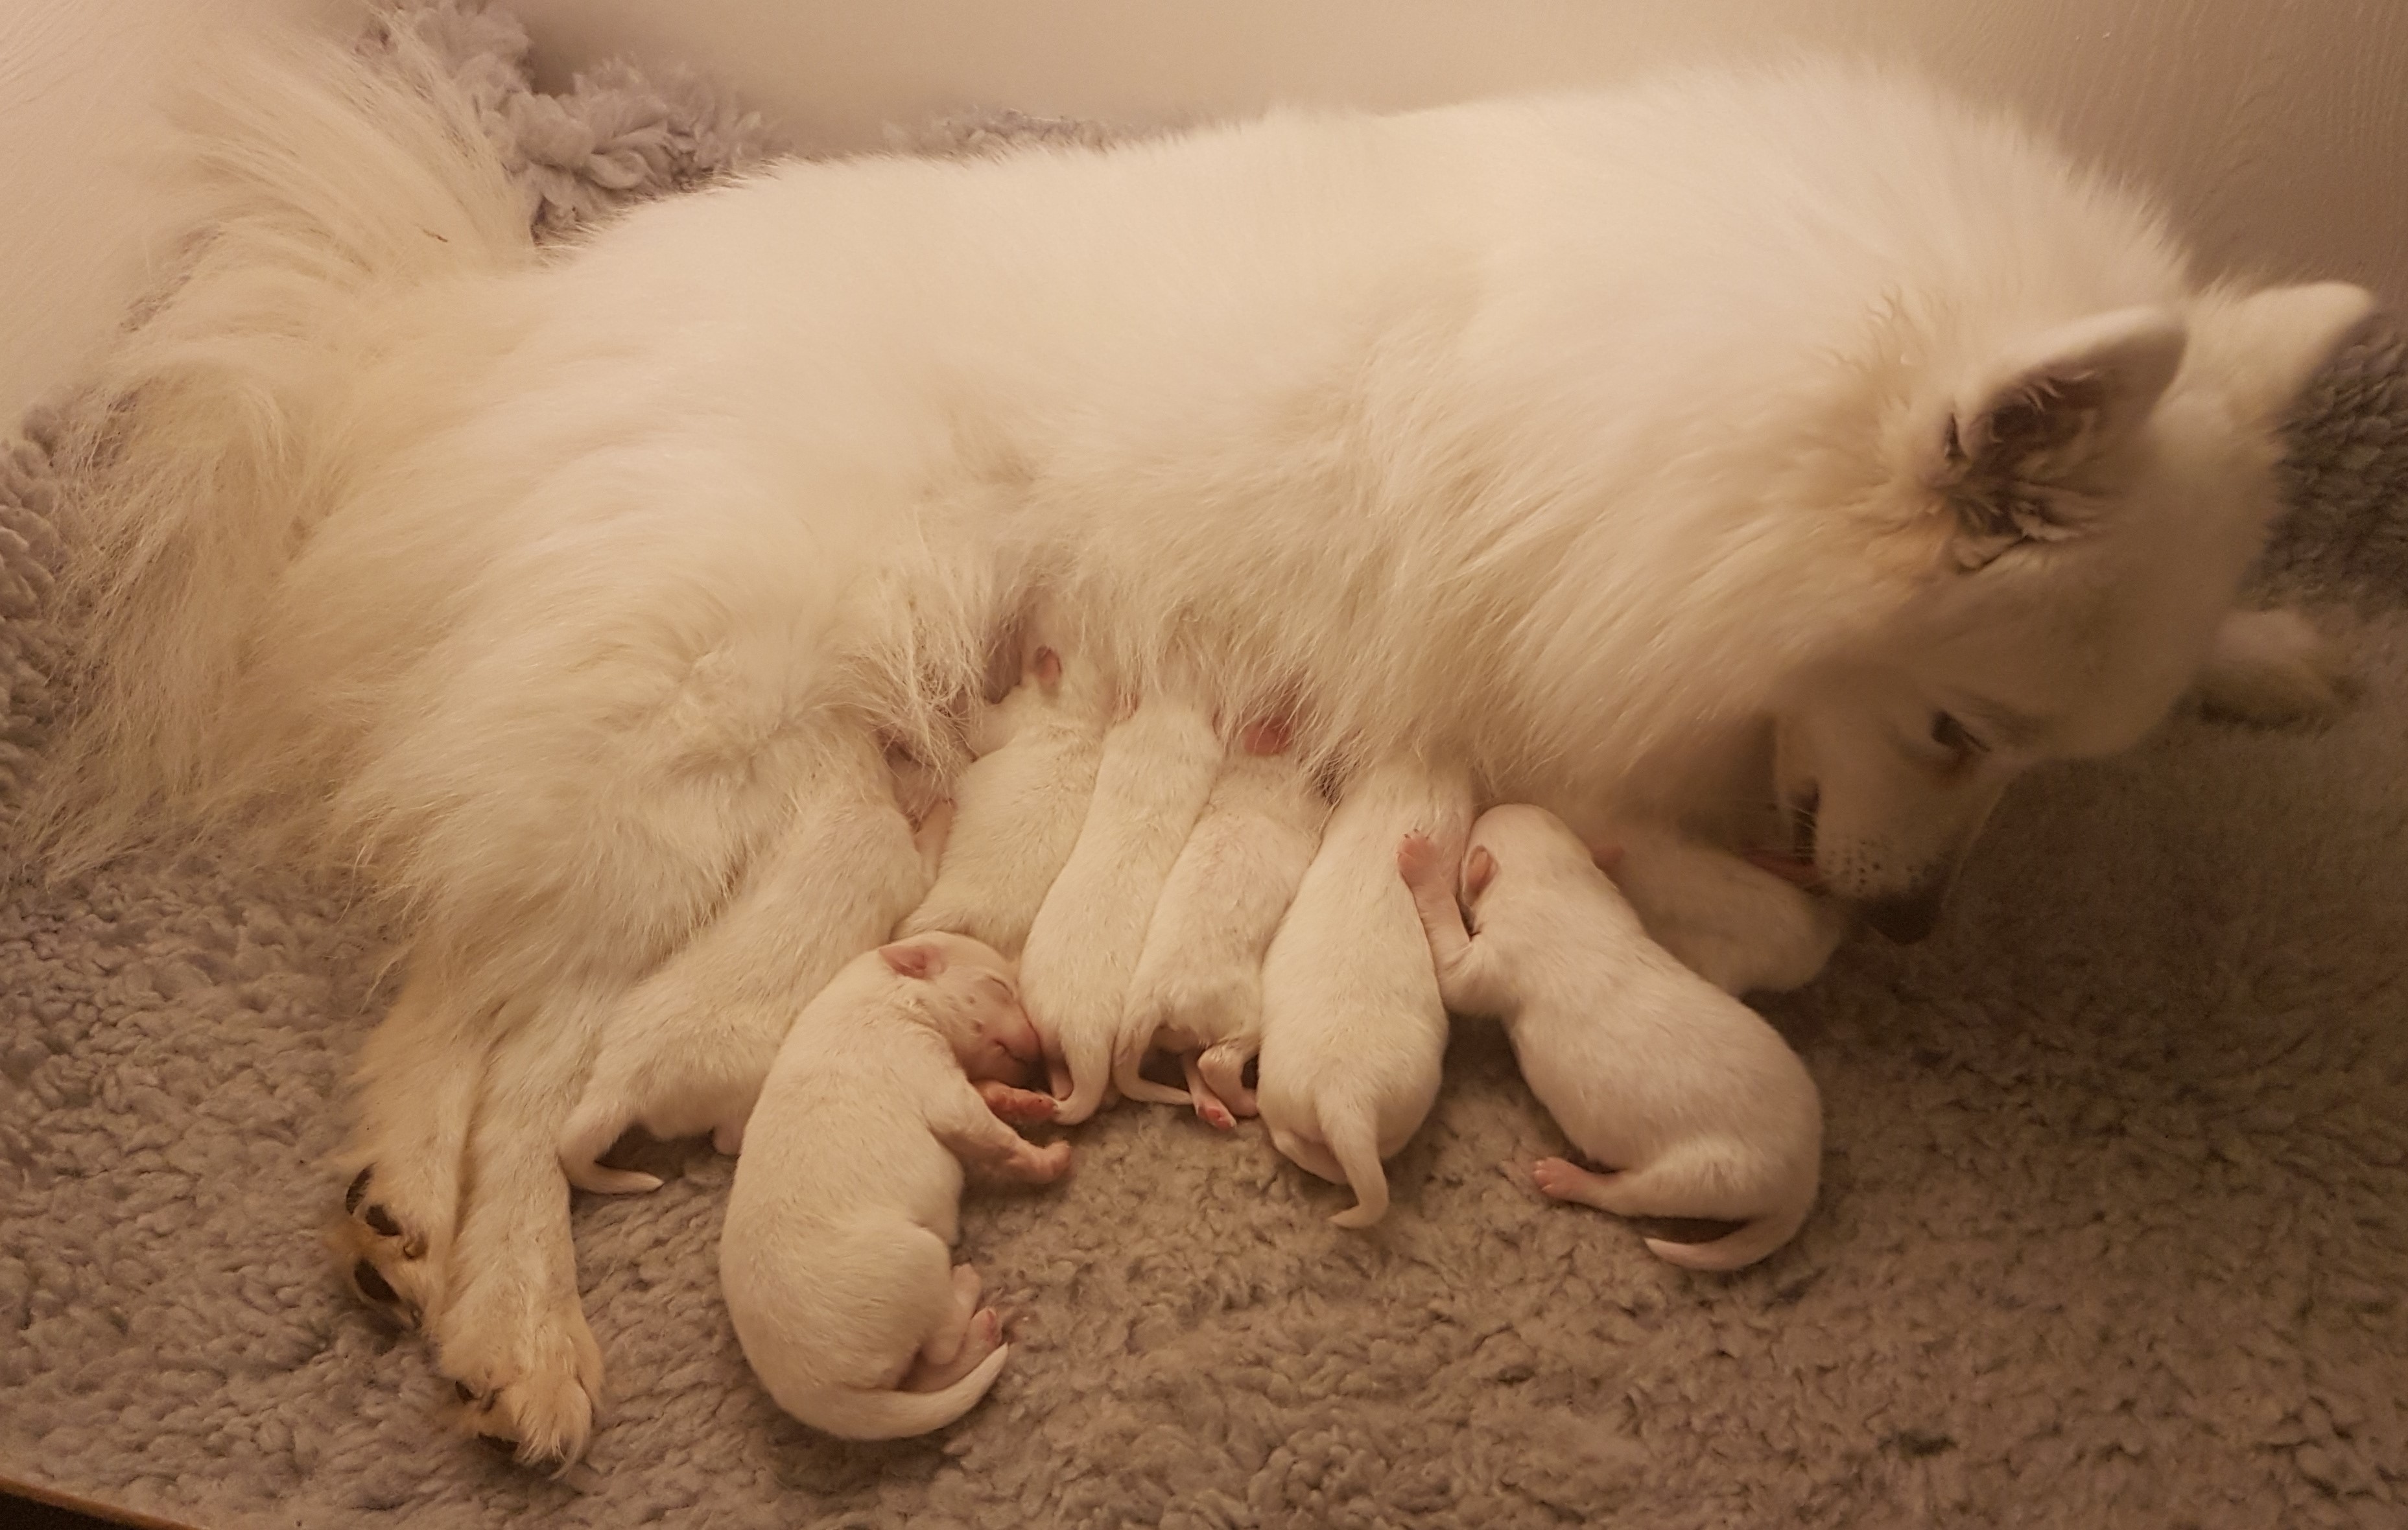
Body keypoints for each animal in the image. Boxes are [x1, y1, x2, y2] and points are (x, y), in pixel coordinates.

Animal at [719, 933, 1067, 1441]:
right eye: (1001, 986)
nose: (1041, 1052)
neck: (891, 994)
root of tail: (822, 1396)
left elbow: (986, 1094)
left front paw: (1020, 1099)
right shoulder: (925, 1064)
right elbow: (983, 1129)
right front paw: (1051, 1158)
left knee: (926, 1372)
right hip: (916, 1257)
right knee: (939, 1346)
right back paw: (969, 1295)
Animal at [1115, 719, 1331, 1127]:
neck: (1253, 765)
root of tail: (1150, 1001)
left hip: (1180, 1033)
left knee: (1191, 1058)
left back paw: (1211, 1108)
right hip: (1243, 1015)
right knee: (1215, 1062)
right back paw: (1247, 1102)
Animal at [1400, 807, 1822, 1269]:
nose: (1496, 806)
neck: (1559, 886)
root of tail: (1806, 1176)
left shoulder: (1498, 955)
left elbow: (1454, 973)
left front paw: (1421, 863)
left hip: (1709, 1175)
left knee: (1630, 1197)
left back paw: (1567, 1179)